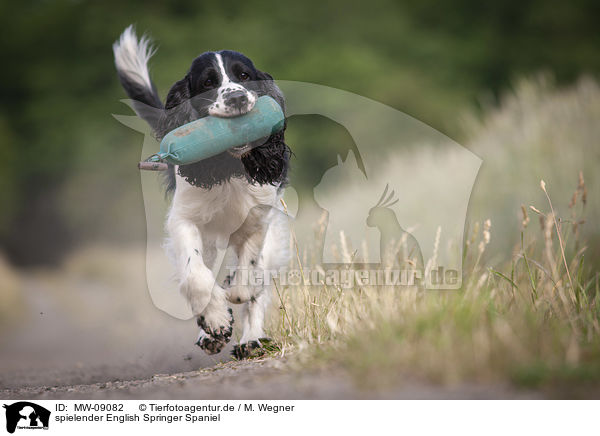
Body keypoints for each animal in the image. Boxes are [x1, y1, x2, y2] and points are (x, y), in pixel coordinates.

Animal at [113, 26, 292, 358]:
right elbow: (195, 276)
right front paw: (216, 320)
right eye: (208, 82)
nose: (236, 97)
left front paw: (236, 294)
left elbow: (248, 275)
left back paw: (251, 340)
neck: (228, 167)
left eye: (244, 76)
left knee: (259, 286)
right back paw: (210, 332)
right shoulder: (184, 220)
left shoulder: (258, 220)